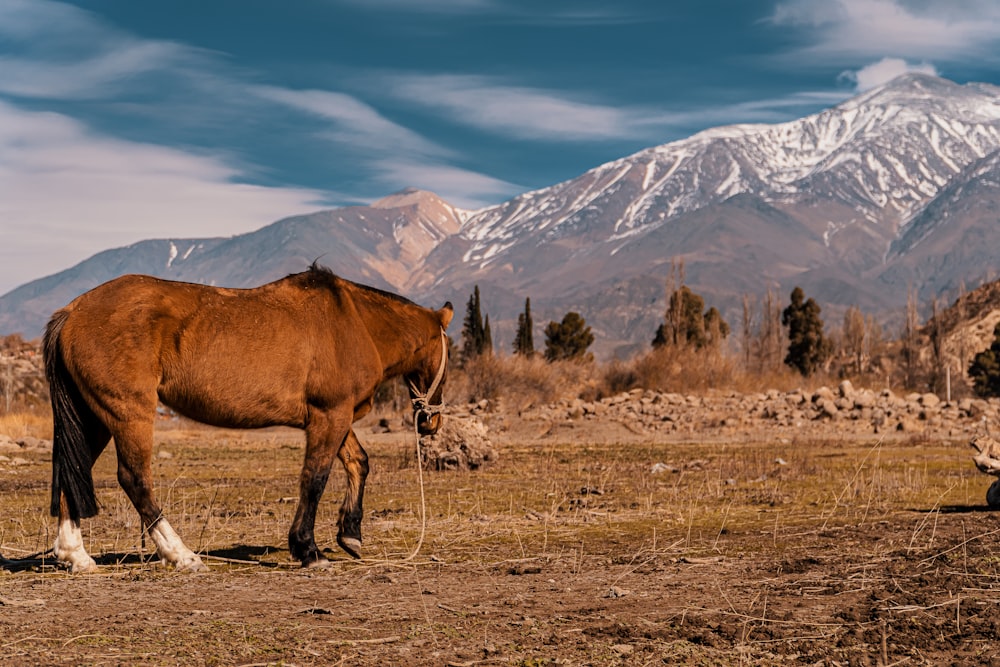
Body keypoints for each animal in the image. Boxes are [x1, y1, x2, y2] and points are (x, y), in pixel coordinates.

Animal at [44, 266, 454, 576]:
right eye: (448, 351)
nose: (431, 422)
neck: (356, 323)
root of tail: (73, 311)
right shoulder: (329, 416)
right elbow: (314, 479)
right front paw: (308, 550)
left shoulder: (338, 417)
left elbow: (358, 462)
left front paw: (350, 534)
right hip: (129, 414)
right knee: (135, 480)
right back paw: (181, 555)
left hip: (94, 418)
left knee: (72, 473)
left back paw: (75, 555)